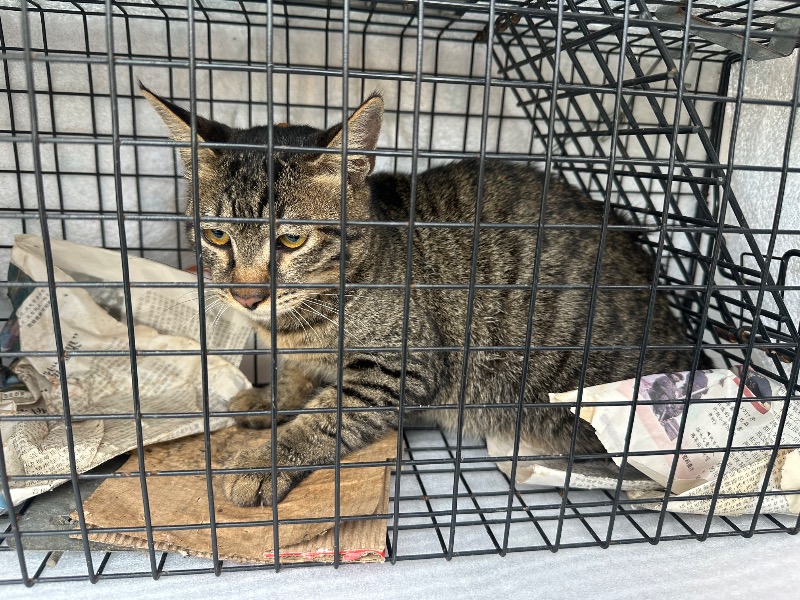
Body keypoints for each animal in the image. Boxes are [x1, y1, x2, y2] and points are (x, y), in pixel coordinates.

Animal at [141, 83, 704, 507]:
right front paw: (267, 400)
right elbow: (295, 380)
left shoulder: (397, 369)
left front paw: (263, 461)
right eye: (218, 236)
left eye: (292, 240)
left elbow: (322, 418)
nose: (247, 296)